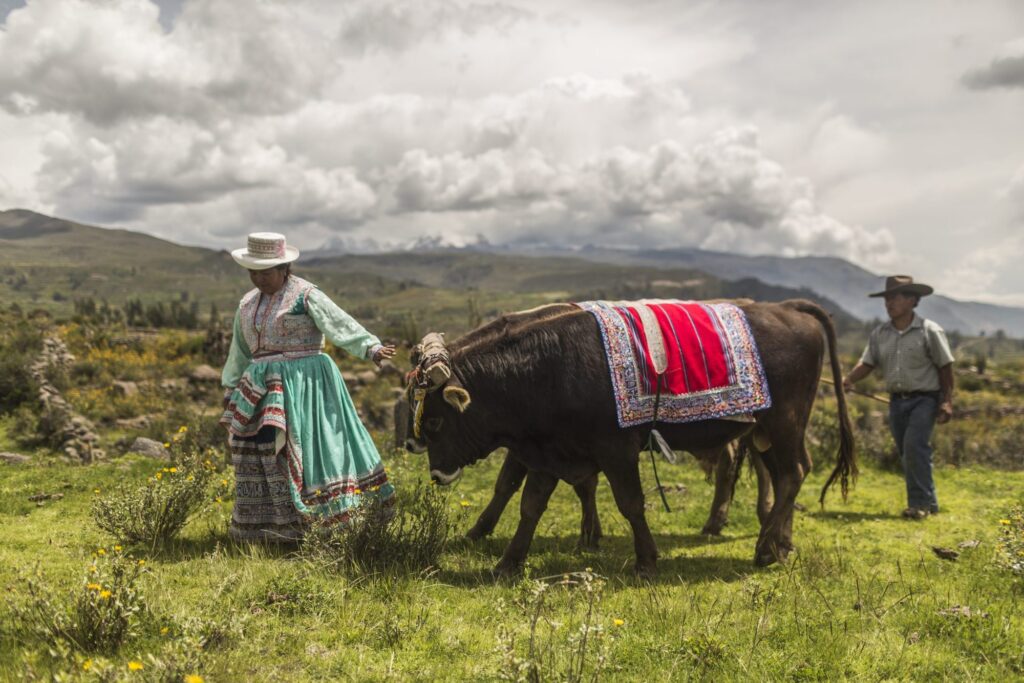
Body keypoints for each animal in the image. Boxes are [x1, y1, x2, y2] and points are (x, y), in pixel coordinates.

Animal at [411, 301, 851, 573]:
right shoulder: (549, 450)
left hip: (784, 423)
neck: (552, 365)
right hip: (765, 431)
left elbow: (631, 503)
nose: (436, 473)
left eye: (434, 422)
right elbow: (530, 505)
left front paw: (645, 559)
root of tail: (788, 309)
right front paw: (508, 561)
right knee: (783, 476)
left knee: (792, 474)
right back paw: (778, 544)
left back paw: (764, 548)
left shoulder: (617, 450)